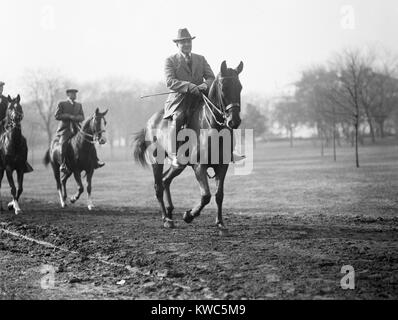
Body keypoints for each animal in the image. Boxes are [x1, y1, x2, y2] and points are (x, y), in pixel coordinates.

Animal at [134, 60, 243, 235]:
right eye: (223, 87)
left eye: (239, 87)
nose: (234, 121)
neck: (211, 126)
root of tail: (150, 122)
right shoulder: (199, 166)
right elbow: (206, 196)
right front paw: (189, 215)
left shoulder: (222, 166)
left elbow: (219, 195)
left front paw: (220, 224)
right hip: (156, 161)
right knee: (158, 186)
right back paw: (166, 219)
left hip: (178, 165)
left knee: (165, 180)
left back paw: (170, 212)